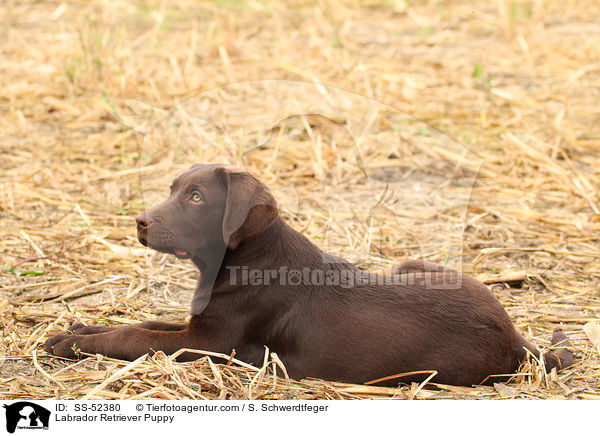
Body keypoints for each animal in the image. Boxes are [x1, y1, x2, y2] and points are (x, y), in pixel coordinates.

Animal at [45, 164, 572, 384]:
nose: (140, 221)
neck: (246, 257)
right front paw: (80, 328)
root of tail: (514, 337)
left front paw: (72, 343)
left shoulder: (213, 342)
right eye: (174, 189)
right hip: (411, 266)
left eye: (195, 197)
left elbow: (137, 336)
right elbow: (146, 323)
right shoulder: (199, 325)